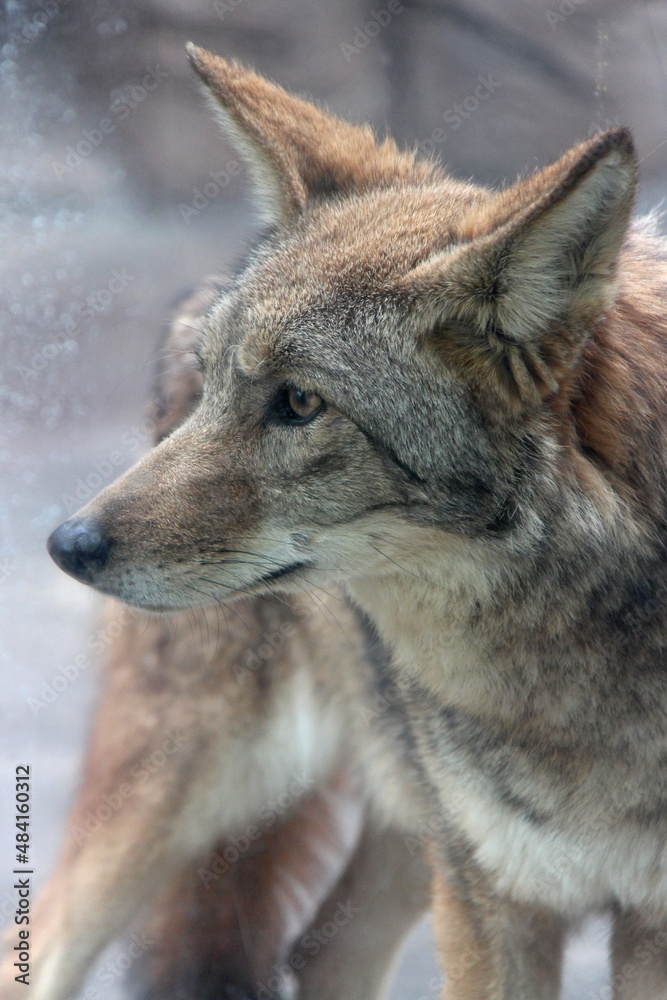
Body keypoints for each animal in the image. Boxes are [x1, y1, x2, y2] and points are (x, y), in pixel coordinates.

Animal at [10, 42, 667, 998]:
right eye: (220, 386)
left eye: (299, 403)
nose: (68, 545)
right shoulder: (490, 904)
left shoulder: (634, 922)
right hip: (182, 795)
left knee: (320, 950)